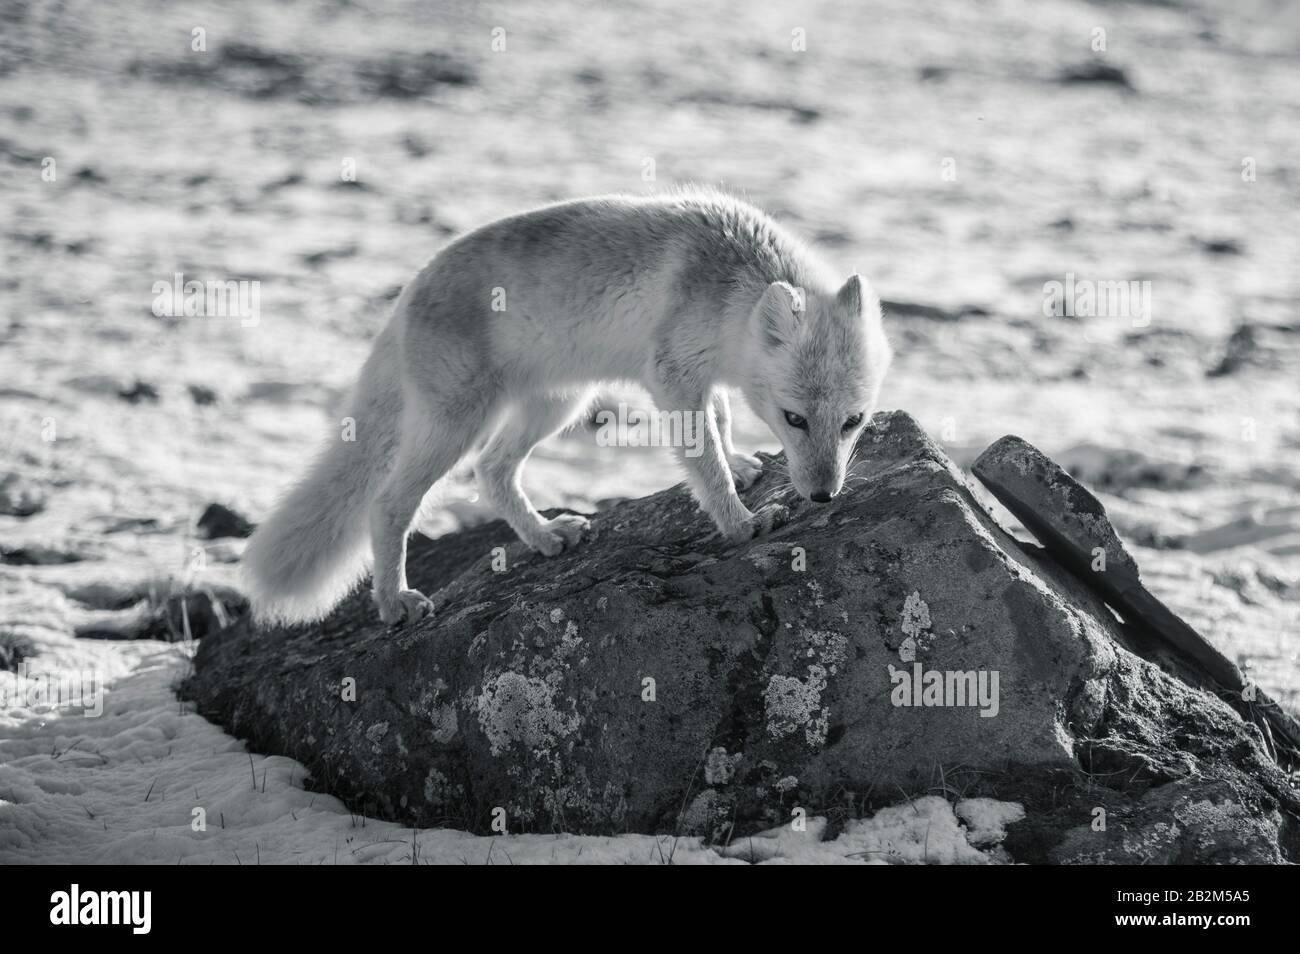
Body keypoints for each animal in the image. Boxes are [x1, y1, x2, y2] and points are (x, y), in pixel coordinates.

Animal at [241, 192, 894, 629]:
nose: (823, 497)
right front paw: (739, 521)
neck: (735, 285)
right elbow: (700, 457)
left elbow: (720, 425)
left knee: (493, 471)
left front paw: (738, 465)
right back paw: (394, 600)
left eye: (853, 422)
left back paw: (546, 536)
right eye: (795, 419)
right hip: (458, 421)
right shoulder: (672, 375)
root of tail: (403, 298)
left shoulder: (704, 379)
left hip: (555, 404)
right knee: (388, 502)